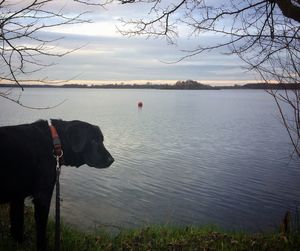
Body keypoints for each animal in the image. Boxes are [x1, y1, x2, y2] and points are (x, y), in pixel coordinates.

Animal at [0, 119, 114, 249]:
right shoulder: (42, 197)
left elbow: (17, 224)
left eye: (102, 140)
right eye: (94, 140)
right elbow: (41, 231)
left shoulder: (18, 196)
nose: (112, 160)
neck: (55, 142)